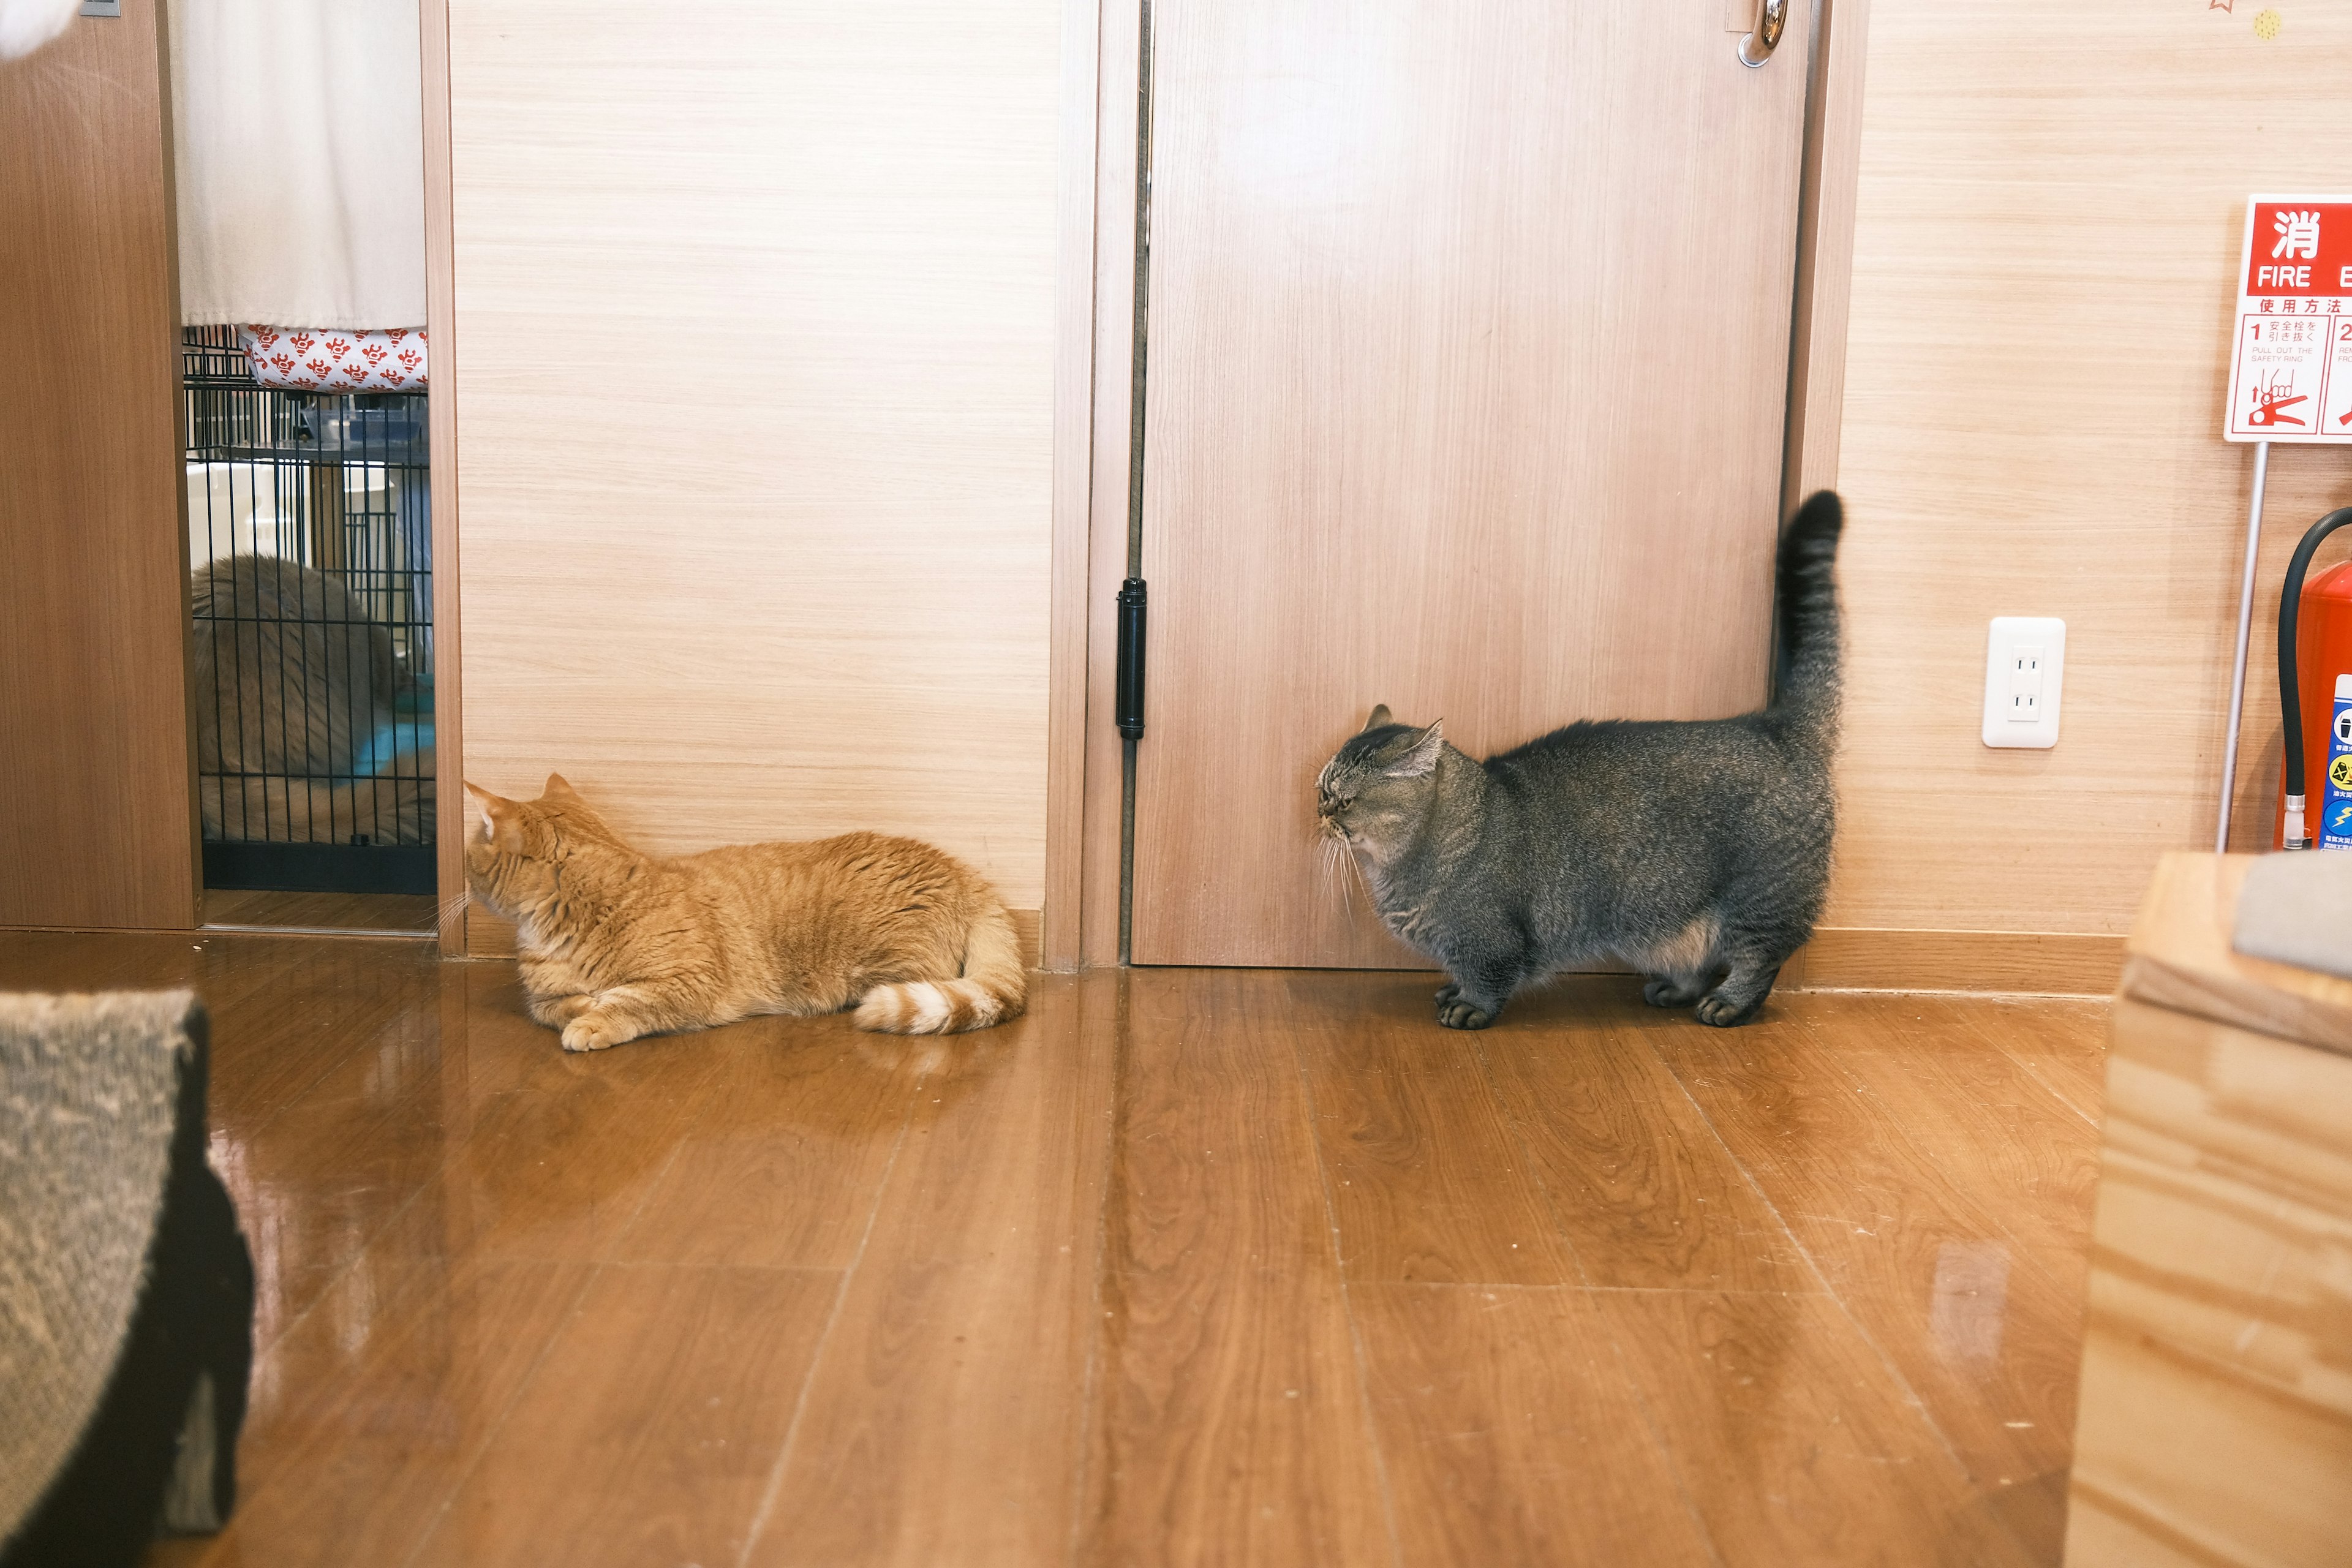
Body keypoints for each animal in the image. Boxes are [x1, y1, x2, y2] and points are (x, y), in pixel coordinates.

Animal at [463, 775, 1025, 1053]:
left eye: (471, 850)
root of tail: (959, 868)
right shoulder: (542, 999)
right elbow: (560, 1006)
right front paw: (586, 1006)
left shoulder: (689, 980)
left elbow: (632, 1001)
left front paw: (596, 1018)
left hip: (890, 966)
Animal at [1317, 491, 1844, 1030]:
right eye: (1323, 790)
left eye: (1347, 799)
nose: (1321, 814)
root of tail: (1770, 726)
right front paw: (1452, 991)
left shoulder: (1488, 941)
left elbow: (1486, 979)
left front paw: (1468, 1005)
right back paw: (1676, 989)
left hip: (1763, 898)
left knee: (1761, 958)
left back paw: (1730, 1003)